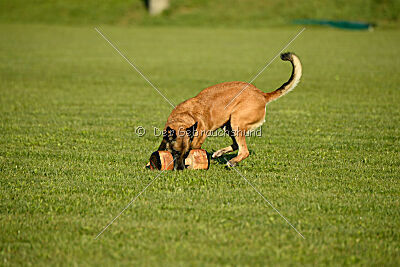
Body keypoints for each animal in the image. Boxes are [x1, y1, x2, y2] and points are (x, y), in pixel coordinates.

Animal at [158, 52, 302, 170]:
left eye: (186, 153)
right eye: (176, 152)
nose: (180, 169)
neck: (185, 117)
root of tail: (262, 95)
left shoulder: (196, 144)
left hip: (236, 121)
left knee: (244, 151)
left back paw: (232, 162)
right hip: (228, 125)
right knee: (236, 145)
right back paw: (219, 153)